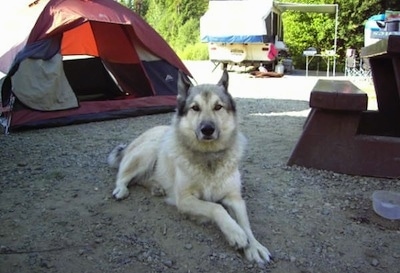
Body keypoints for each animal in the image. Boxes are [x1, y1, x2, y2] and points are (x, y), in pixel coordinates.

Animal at [108, 70, 272, 264]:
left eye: (218, 107)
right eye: (195, 108)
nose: (207, 129)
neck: (209, 156)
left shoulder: (235, 199)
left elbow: (245, 223)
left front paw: (254, 246)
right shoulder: (185, 200)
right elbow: (216, 208)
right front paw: (235, 233)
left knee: (141, 179)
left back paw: (156, 187)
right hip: (147, 152)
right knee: (124, 176)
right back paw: (121, 189)